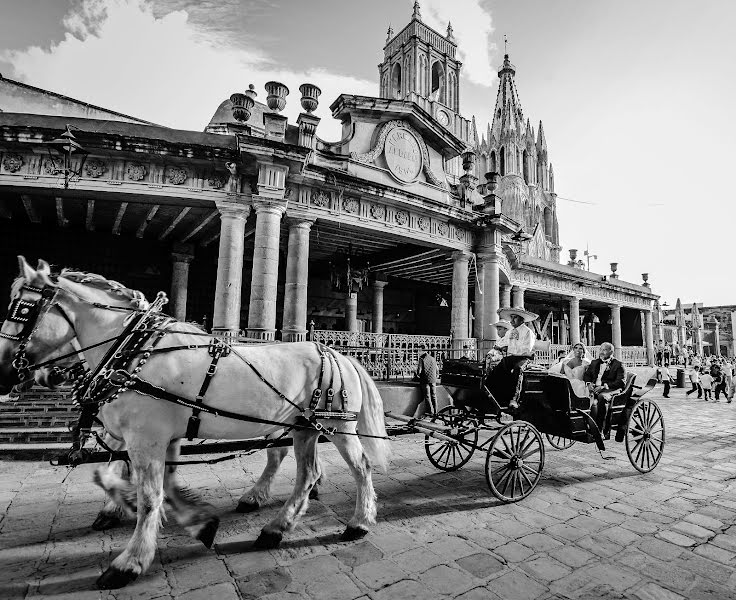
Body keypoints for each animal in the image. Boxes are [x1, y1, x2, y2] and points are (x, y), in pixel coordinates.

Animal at [0, 258, 392, 592]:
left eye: (23, 309)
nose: (4, 373)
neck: (134, 349)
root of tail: (337, 352)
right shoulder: (155, 436)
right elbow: (137, 479)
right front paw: (193, 521)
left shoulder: (146, 436)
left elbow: (149, 495)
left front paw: (130, 561)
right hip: (302, 426)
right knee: (301, 470)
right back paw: (274, 524)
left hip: (336, 425)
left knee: (359, 466)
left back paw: (357, 522)